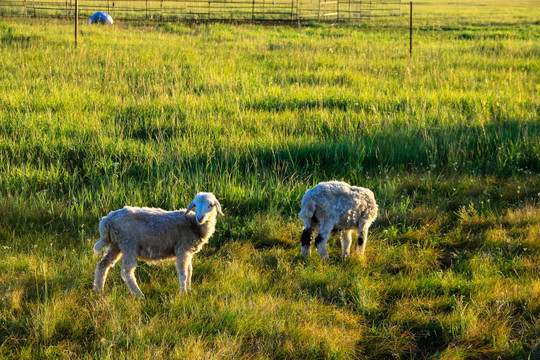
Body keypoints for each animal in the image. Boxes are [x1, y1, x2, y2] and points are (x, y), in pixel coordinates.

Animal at [93, 193, 224, 296]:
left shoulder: (188, 251)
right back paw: (139, 295)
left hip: (116, 244)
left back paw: (99, 292)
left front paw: (189, 291)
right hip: (129, 244)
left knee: (103, 265)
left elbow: (190, 271)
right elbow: (183, 273)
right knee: (127, 271)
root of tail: (107, 219)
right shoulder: (182, 249)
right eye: (195, 205)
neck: (193, 225)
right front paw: (183, 294)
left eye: (210, 205)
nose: (200, 217)